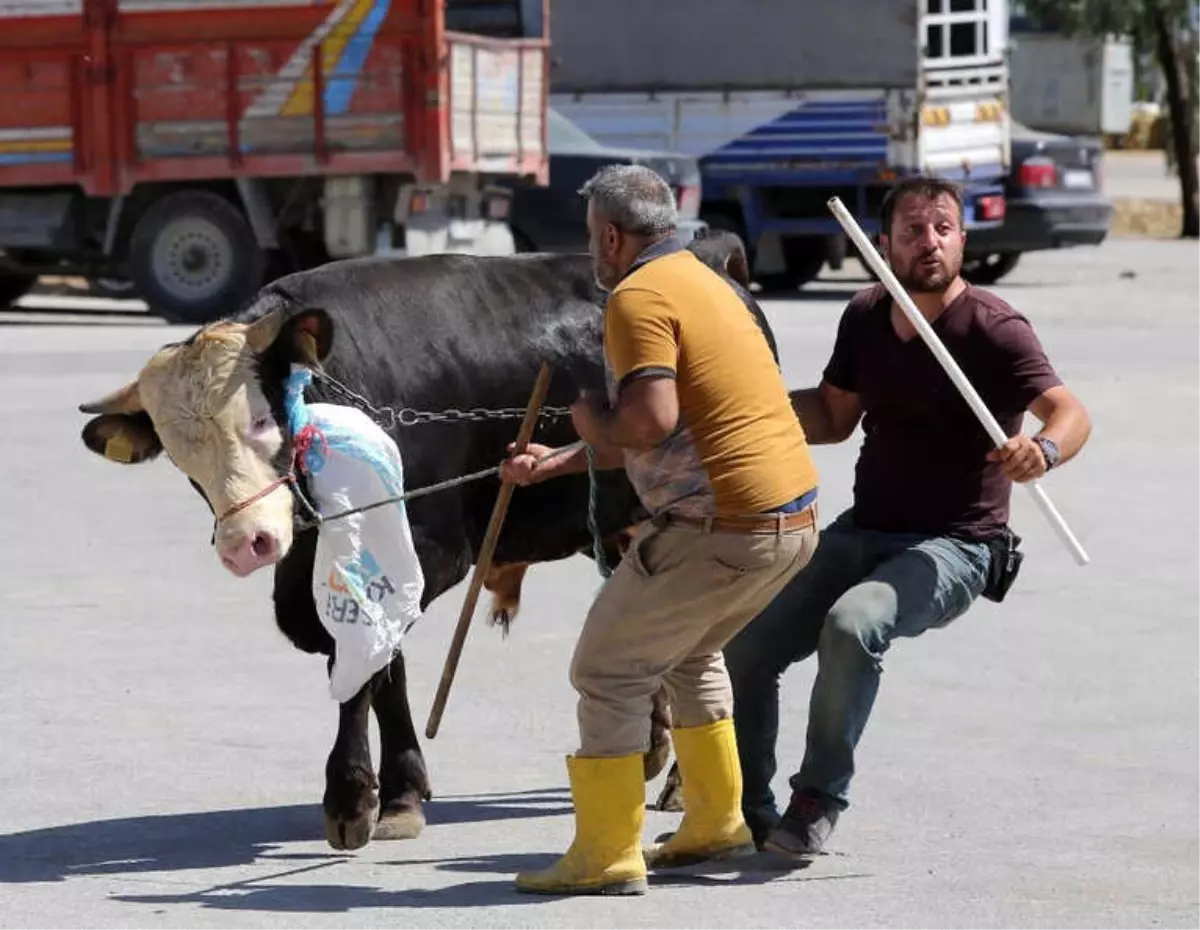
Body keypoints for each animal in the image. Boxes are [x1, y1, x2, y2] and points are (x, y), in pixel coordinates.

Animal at [77, 230, 768, 849]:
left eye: (263, 419)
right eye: (179, 454)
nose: (250, 541)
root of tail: (708, 251)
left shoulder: (428, 550)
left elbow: (365, 663)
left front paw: (357, 798)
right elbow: (381, 666)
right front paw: (400, 790)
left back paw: (682, 780)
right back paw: (651, 746)